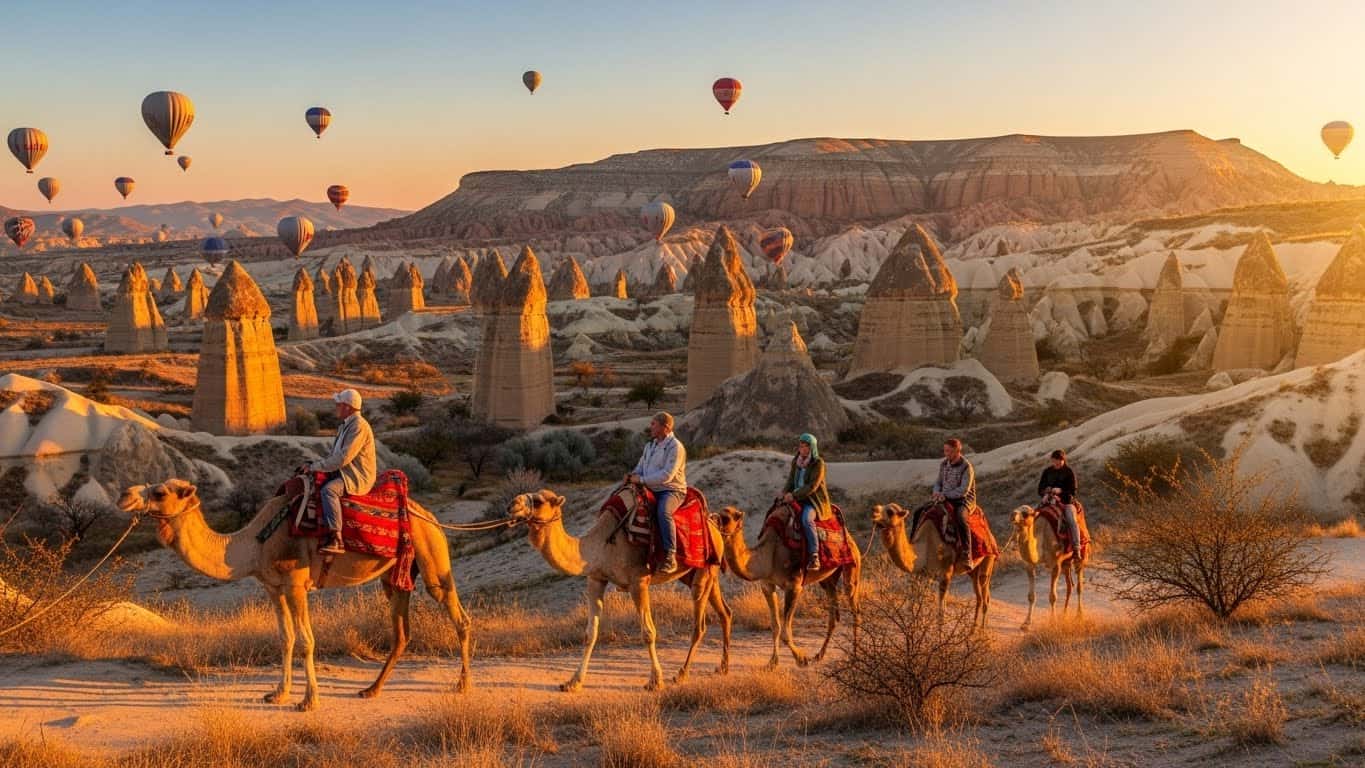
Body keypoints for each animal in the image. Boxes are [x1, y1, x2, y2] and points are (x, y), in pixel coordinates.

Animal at [118, 479, 472, 711]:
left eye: (160, 492)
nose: (124, 495)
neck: (254, 544)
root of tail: (431, 516)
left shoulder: (296, 584)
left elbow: (306, 641)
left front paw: (308, 700)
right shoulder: (273, 587)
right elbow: (285, 638)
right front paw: (277, 693)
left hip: (431, 555)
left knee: (459, 616)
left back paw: (463, 684)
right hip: (396, 576)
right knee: (401, 632)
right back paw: (371, 690)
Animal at [506, 487, 731, 692]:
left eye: (539, 500)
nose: (511, 505)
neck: (600, 545)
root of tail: (713, 523)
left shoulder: (638, 582)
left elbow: (648, 632)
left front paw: (655, 681)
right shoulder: (596, 578)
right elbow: (590, 633)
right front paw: (573, 682)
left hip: (703, 573)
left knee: (699, 625)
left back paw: (681, 674)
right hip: (698, 574)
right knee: (725, 613)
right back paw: (723, 667)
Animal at [714, 504, 860, 668]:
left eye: (726, 518)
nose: (712, 521)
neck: (770, 554)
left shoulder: (794, 586)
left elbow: (785, 631)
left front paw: (801, 658)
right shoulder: (767, 585)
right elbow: (775, 626)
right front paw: (772, 663)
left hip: (852, 564)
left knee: (854, 607)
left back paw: (855, 656)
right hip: (828, 580)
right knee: (833, 613)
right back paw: (819, 655)